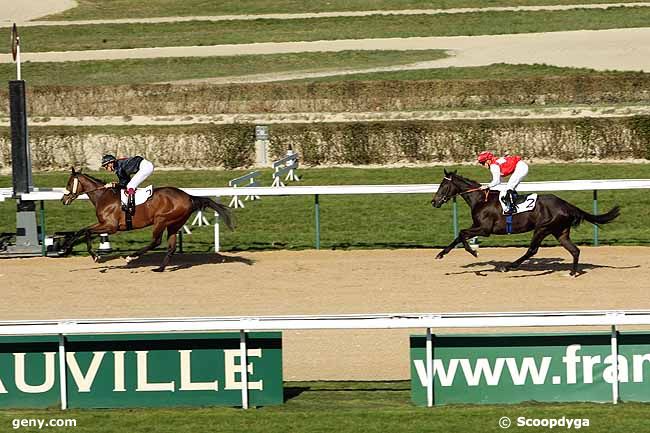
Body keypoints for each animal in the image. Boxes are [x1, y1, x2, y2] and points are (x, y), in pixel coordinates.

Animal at [59, 168, 234, 270]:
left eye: (69, 183)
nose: (63, 199)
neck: (104, 195)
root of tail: (189, 197)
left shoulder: (111, 226)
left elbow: (87, 231)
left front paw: (95, 256)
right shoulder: (103, 223)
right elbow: (82, 230)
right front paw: (66, 246)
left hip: (161, 220)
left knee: (156, 241)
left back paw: (132, 255)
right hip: (174, 224)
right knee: (171, 247)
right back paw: (160, 268)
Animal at [430, 170, 616, 276]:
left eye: (443, 185)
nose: (434, 202)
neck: (481, 199)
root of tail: (566, 204)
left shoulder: (485, 229)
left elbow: (462, 233)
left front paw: (473, 252)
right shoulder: (478, 227)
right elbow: (458, 235)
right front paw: (440, 254)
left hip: (542, 228)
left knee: (532, 250)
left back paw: (509, 267)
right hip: (560, 232)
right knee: (575, 250)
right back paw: (572, 272)